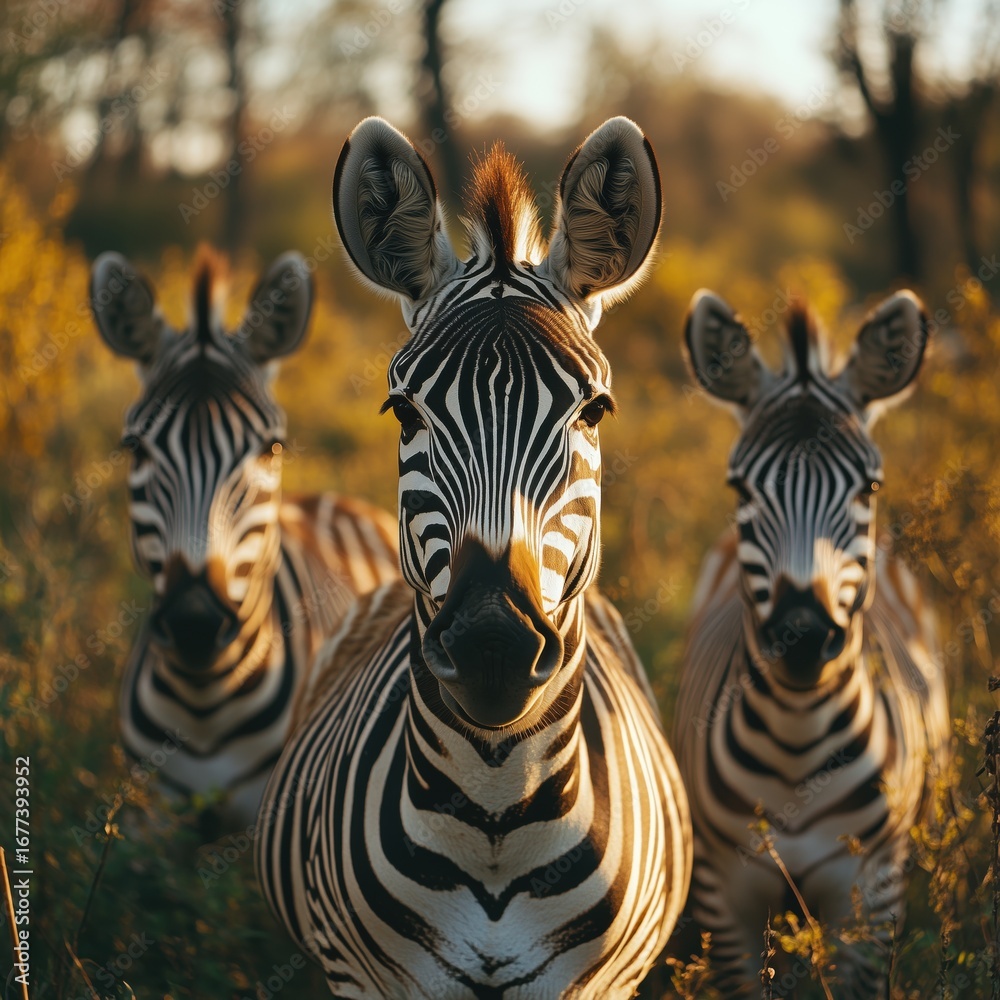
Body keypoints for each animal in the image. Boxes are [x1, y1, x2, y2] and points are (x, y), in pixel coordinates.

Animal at [256, 116, 692, 998]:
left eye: (595, 410)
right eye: (402, 411)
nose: (494, 646)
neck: (496, 812)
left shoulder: (604, 982)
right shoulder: (360, 978)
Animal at [675, 288, 950, 996]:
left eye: (869, 487)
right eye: (740, 488)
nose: (801, 636)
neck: (795, 741)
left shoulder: (871, 895)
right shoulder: (725, 893)